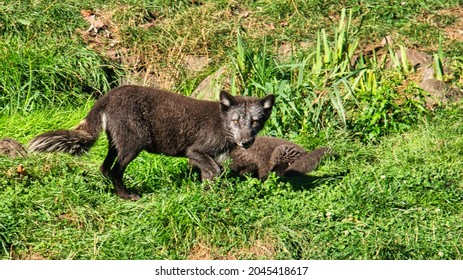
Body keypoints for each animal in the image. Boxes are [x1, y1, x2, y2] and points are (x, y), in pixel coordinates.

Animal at [29, 85, 276, 199]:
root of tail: (108, 95)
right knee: (115, 171)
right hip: (133, 146)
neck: (221, 123)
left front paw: (208, 196)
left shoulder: (204, 157)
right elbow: (216, 170)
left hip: (116, 145)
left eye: (255, 122)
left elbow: (212, 174)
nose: (246, 142)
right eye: (236, 121)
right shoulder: (195, 151)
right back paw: (127, 197)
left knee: (104, 168)